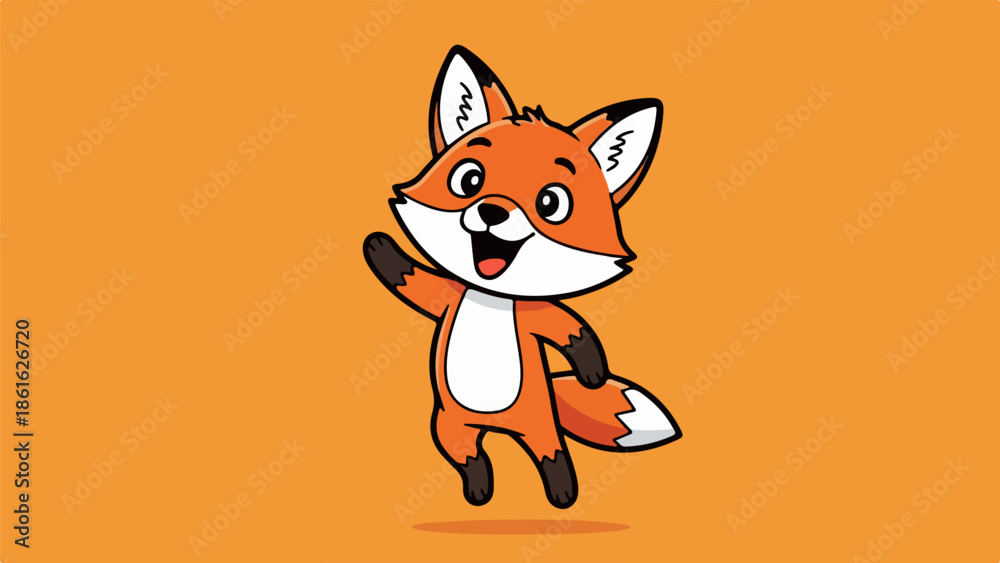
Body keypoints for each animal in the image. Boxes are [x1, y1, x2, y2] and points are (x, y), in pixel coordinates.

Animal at [363, 46, 681, 509]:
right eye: (469, 179)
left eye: (551, 202)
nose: (492, 210)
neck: (489, 297)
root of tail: (498, 426)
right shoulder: (447, 295)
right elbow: (410, 277)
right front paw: (378, 246)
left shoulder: (536, 315)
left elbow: (570, 328)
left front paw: (593, 374)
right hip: (449, 425)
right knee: (469, 455)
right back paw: (479, 489)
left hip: (538, 426)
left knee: (552, 455)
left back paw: (562, 493)